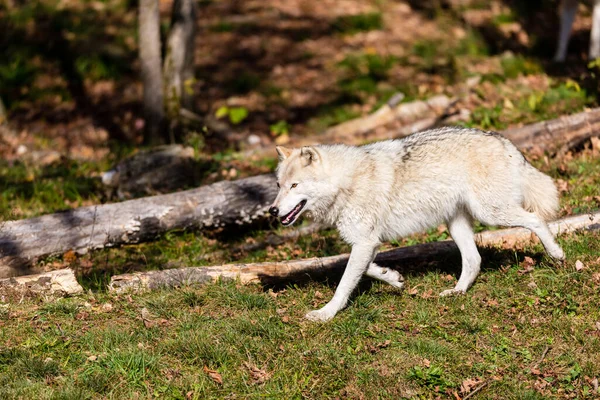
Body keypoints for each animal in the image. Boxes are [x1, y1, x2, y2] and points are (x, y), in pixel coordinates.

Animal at [270, 128, 564, 322]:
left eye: (294, 185)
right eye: (279, 185)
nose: (273, 210)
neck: (346, 183)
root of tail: (504, 141)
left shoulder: (364, 242)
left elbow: (344, 283)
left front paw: (326, 313)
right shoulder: (367, 242)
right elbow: (362, 268)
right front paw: (393, 278)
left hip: (491, 213)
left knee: (536, 220)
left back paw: (557, 254)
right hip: (457, 225)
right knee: (474, 260)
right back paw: (456, 292)